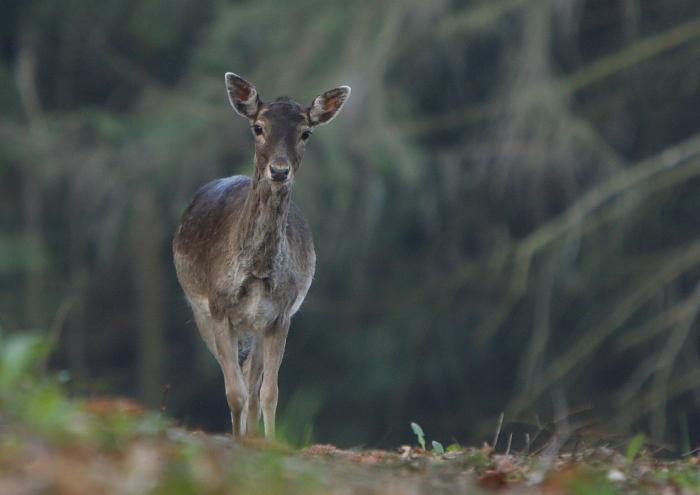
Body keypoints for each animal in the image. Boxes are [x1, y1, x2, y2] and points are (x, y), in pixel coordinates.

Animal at [172, 73, 350, 438]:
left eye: (306, 132)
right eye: (258, 127)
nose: (279, 170)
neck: (256, 271)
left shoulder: (280, 314)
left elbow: (268, 392)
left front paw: (267, 441)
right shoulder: (218, 308)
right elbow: (234, 390)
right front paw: (239, 441)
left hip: (255, 323)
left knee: (252, 380)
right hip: (199, 309)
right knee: (237, 378)